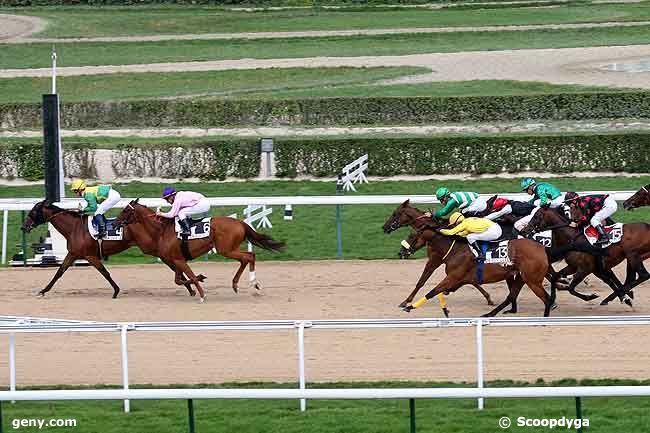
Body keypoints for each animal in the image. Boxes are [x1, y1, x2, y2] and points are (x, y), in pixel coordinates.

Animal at [113, 198, 284, 302]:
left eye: (125, 211)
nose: (114, 224)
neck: (161, 230)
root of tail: (241, 223)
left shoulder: (178, 259)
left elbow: (189, 277)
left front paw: (202, 294)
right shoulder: (176, 259)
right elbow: (178, 280)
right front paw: (201, 277)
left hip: (225, 249)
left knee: (249, 256)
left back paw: (253, 283)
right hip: (229, 249)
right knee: (247, 257)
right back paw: (238, 285)